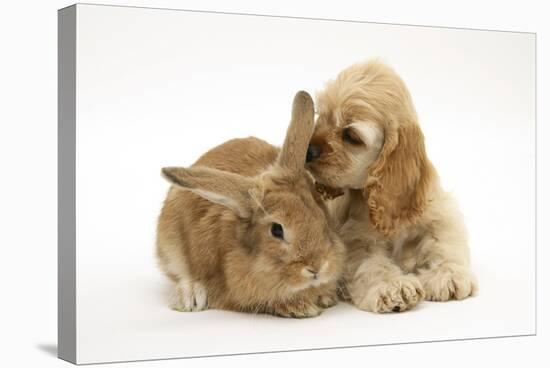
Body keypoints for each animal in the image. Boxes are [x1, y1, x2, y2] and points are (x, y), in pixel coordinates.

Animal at [157, 90, 344, 318]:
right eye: (276, 230)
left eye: (322, 217)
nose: (317, 268)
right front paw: (300, 307)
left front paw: (324, 297)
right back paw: (190, 296)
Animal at [306, 59, 478, 312]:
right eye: (321, 117)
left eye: (351, 136)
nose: (308, 151)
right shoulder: (357, 237)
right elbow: (371, 263)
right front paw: (393, 286)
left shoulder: (440, 210)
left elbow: (445, 241)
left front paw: (447, 274)